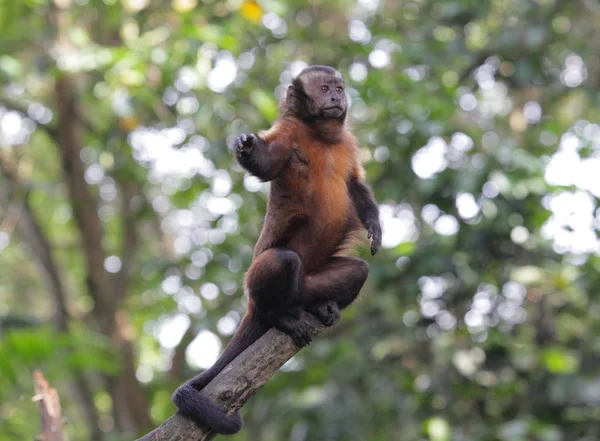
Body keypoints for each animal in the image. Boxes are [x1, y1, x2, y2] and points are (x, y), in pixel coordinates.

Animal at [171, 64, 382, 434]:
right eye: (324, 88)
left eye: (339, 88)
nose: (335, 98)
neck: (321, 133)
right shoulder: (288, 130)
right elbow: (267, 164)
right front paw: (245, 147)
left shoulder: (349, 143)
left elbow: (356, 186)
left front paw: (374, 226)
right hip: (258, 288)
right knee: (283, 261)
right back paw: (279, 316)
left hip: (309, 283)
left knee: (358, 270)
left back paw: (322, 306)